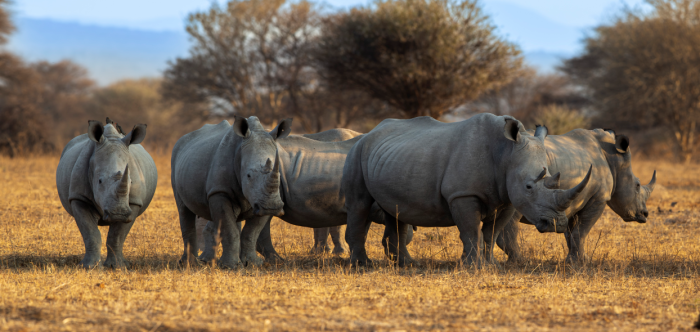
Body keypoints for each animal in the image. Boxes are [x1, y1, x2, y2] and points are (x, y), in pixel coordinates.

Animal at [56, 119, 157, 270]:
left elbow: (117, 235)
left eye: (131, 181)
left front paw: (118, 267)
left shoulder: (134, 202)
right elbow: (91, 233)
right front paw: (89, 267)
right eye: (99, 181)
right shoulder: (79, 197)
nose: (118, 214)